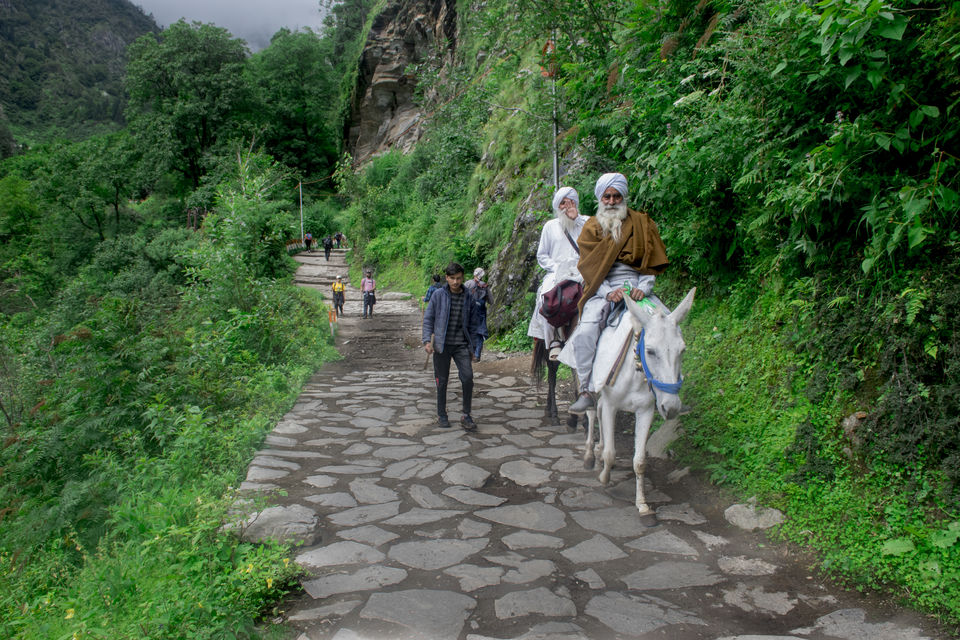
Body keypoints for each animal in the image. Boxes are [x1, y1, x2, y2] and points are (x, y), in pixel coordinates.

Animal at [580, 288, 692, 516]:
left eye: (682, 350)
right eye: (650, 351)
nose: (672, 407)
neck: (635, 372)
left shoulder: (646, 410)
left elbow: (639, 461)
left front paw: (642, 505)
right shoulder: (612, 404)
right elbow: (611, 453)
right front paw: (604, 477)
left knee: (599, 411)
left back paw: (598, 450)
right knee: (592, 411)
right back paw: (589, 455)